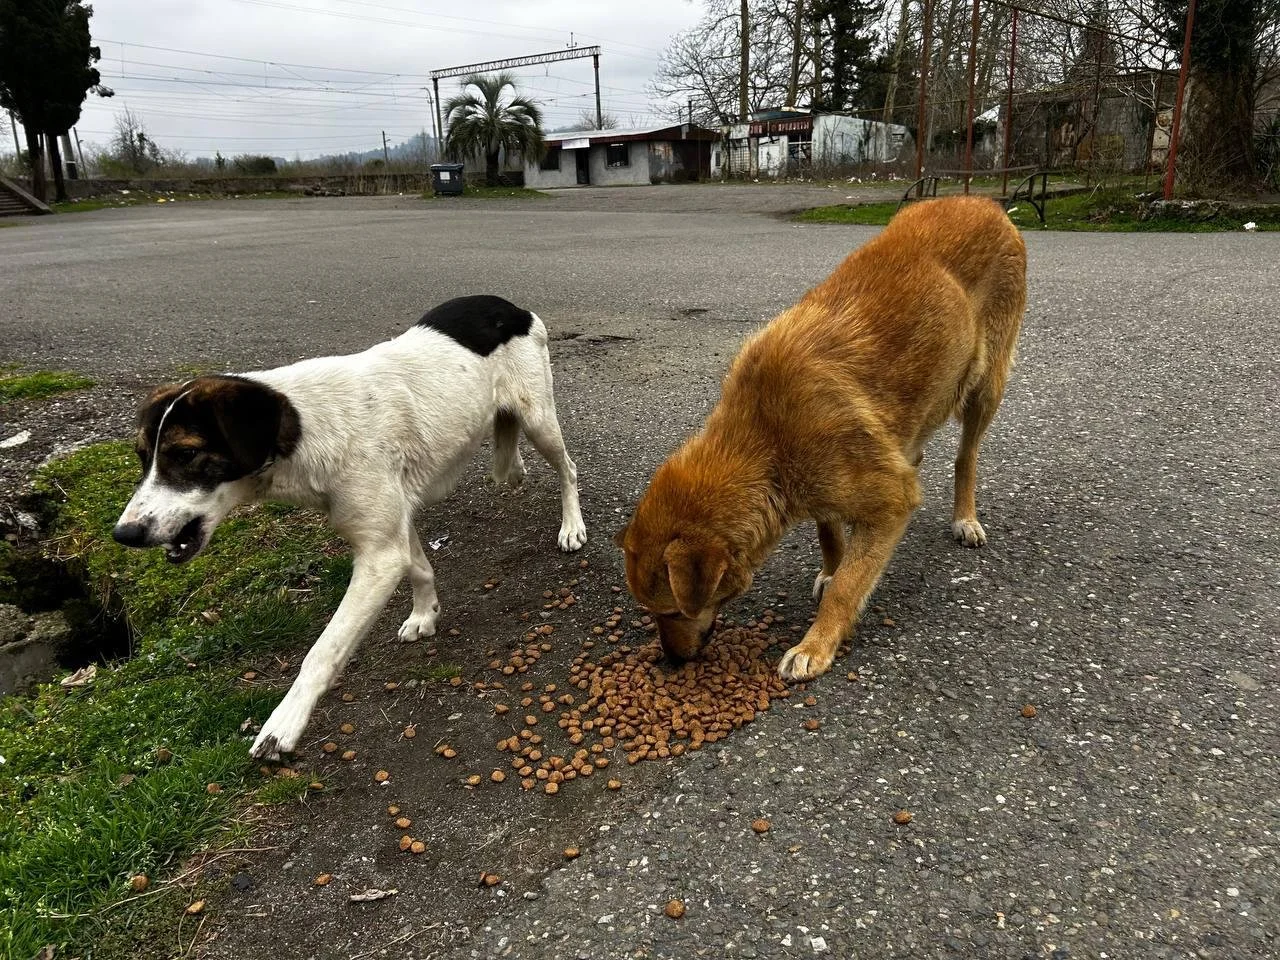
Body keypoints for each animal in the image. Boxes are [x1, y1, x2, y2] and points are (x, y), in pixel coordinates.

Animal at [113, 295, 588, 758]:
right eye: (142, 457)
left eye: (186, 454)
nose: (124, 534)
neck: (305, 431)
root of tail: (510, 306)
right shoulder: (392, 528)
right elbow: (420, 568)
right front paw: (425, 614)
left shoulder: (378, 557)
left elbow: (323, 650)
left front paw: (284, 724)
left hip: (539, 419)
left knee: (568, 469)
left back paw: (571, 526)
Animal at [616, 196, 1025, 681]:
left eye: (673, 612)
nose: (672, 663)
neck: (765, 440)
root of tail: (984, 202)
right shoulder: (823, 489)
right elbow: (831, 538)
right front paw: (832, 568)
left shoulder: (891, 500)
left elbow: (848, 586)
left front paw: (819, 640)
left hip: (985, 384)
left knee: (967, 456)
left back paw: (965, 516)